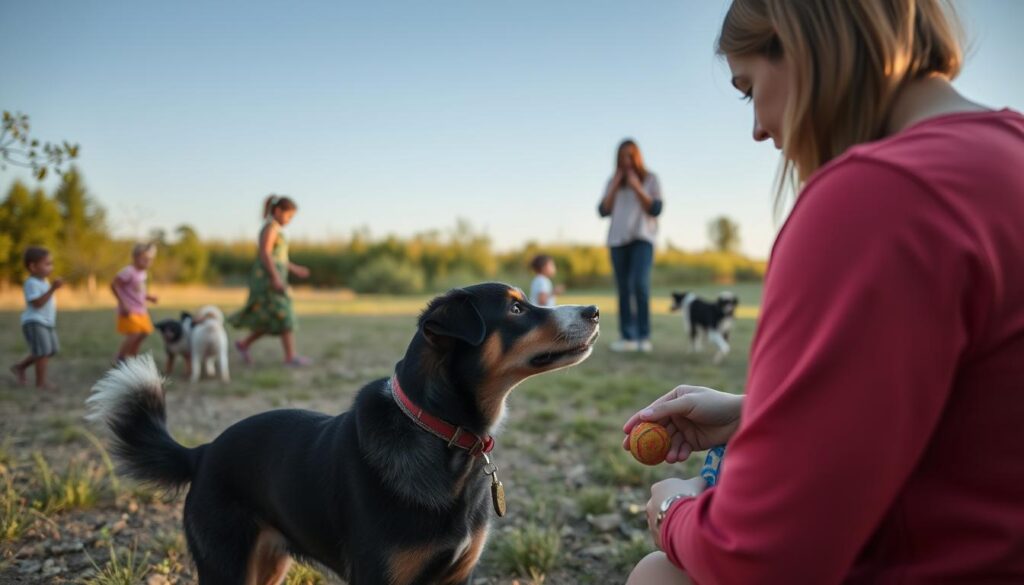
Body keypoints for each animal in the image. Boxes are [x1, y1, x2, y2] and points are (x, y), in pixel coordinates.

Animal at [90, 284, 598, 585]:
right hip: (224, 564)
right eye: (516, 307)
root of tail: (204, 451)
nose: (593, 309)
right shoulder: (377, 576)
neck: (441, 435)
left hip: (267, 562)